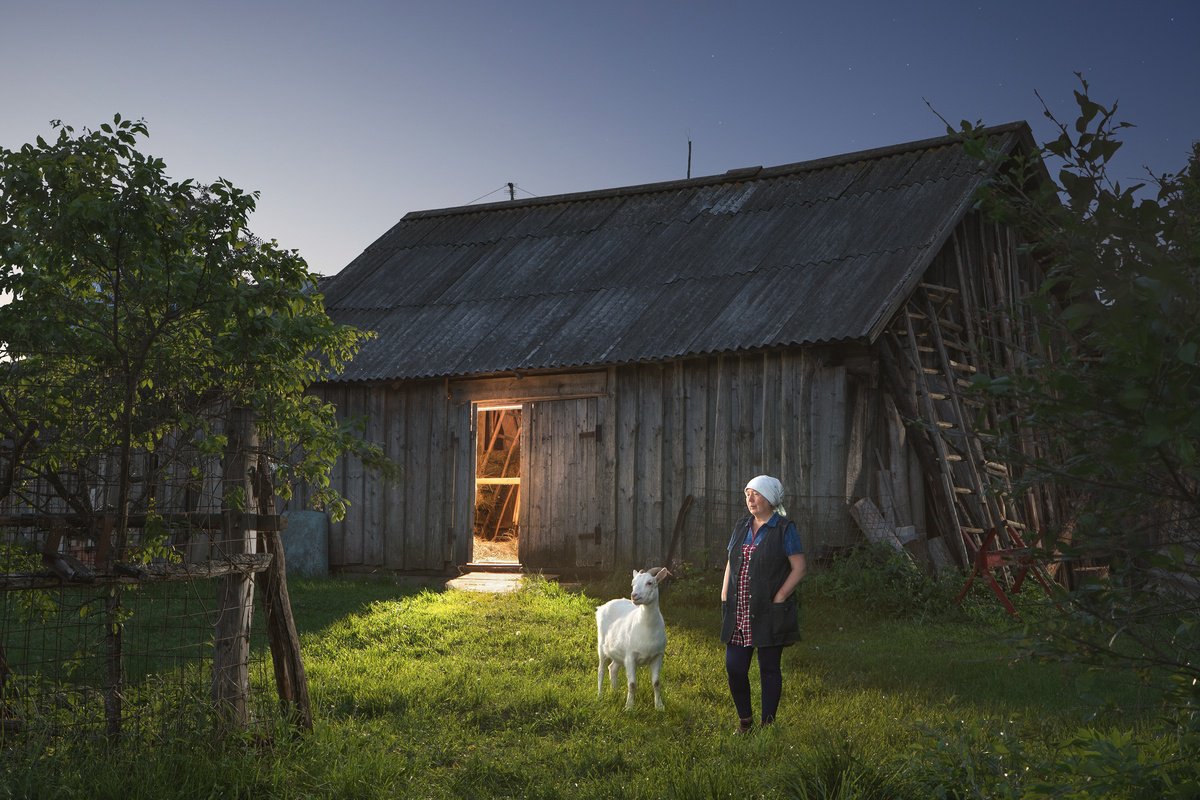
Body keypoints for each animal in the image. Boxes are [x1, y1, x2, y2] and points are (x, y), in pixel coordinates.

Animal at [595, 566, 672, 710]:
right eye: (633, 583)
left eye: (650, 583)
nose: (634, 596)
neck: (647, 629)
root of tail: (601, 607)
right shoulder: (630, 656)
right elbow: (632, 684)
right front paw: (629, 707)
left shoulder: (658, 656)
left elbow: (656, 683)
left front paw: (659, 706)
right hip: (602, 647)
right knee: (601, 670)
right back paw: (600, 696)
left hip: (619, 653)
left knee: (612, 668)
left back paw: (615, 692)